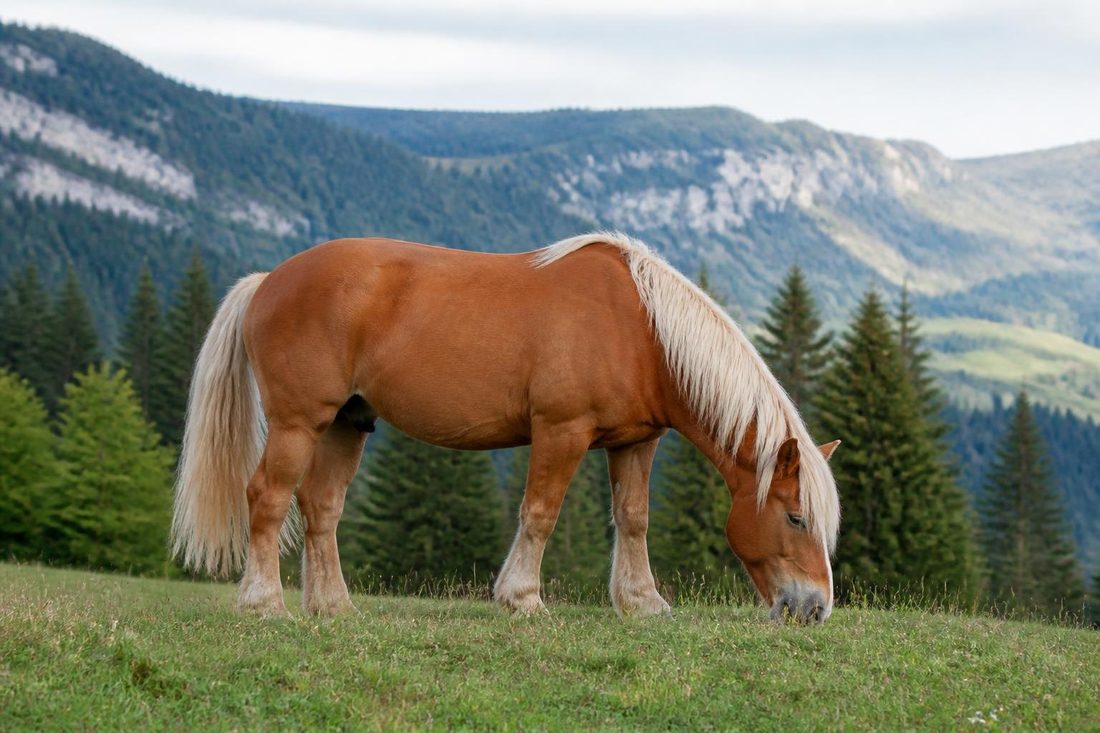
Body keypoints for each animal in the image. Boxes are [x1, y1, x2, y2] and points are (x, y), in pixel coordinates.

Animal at [171, 232, 841, 623]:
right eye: (795, 518)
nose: (814, 609)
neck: (642, 329)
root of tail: (268, 280)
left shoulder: (635, 443)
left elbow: (633, 519)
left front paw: (643, 602)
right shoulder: (561, 431)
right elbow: (540, 512)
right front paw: (522, 597)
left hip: (346, 424)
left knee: (322, 508)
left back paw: (333, 607)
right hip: (297, 423)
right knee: (268, 497)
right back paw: (264, 603)